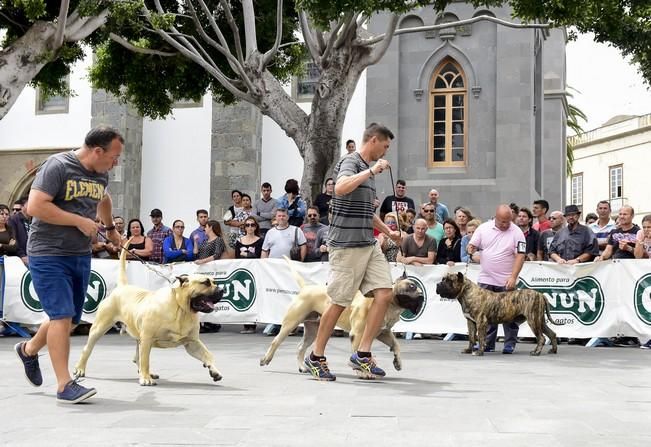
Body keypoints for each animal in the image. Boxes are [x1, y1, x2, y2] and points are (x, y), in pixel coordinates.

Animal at [74, 243, 224, 386]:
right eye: (205, 283)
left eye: (214, 282)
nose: (222, 290)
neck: (181, 309)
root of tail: (122, 287)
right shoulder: (147, 339)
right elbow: (146, 360)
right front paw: (145, 379)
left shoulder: (192, 342)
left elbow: (207, 355)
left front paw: (214, 370)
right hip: (100, 328)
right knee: (87, 349)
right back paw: (80, 369)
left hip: (138, 337)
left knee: (137, 358)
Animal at [260, 260, 428, 372]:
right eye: (411, 286)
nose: (422, 297)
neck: (391, 304)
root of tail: (306, 288)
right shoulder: (358, 334)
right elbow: (357, 352)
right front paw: (362, 369)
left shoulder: (383, 332)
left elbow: (396, 345)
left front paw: (397, 361)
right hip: (291, 322)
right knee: (276, 342)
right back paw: (265, 359)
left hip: (313, 330)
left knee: (301, 347)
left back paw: (303, 367)